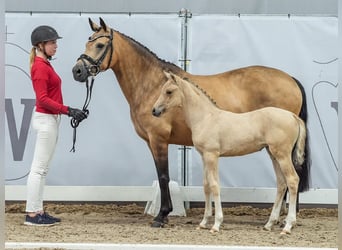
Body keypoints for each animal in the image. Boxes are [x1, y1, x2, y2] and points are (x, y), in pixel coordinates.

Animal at [151, 71, 306, 234]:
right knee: (282, 183)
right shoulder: (204, 156)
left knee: (292, 180)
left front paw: (216, 224)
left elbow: (214, 185)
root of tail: (293, 116)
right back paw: (269, 224)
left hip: (282, 155)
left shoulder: (212, 155)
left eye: (169, 91)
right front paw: (203, 222)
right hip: (273, 155)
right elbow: (206, 185)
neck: (206, 118)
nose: (154, 111)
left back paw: (288, 226)